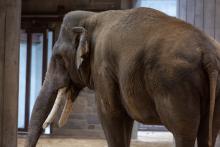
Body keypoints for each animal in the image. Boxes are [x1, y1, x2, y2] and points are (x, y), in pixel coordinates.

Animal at [24, 7, 220, 147]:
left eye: (58, 58)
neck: (92, 17)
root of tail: (208, 52)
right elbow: (124, 118)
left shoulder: (103, 67)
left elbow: (110, 113)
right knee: (208, 131)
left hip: (175, 84)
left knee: (183, 131)